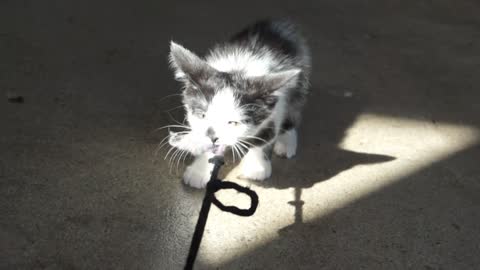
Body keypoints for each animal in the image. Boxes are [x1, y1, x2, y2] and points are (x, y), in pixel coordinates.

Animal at [168, 19, 312, 188]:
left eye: (233, 122)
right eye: (202, 115)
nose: (212, 136)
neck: (240, 71)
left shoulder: (275, 103)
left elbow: (267, 134)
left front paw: (256, 167)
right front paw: (200, 170)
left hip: (299, 79)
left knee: (294, 108)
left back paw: (286, 140)